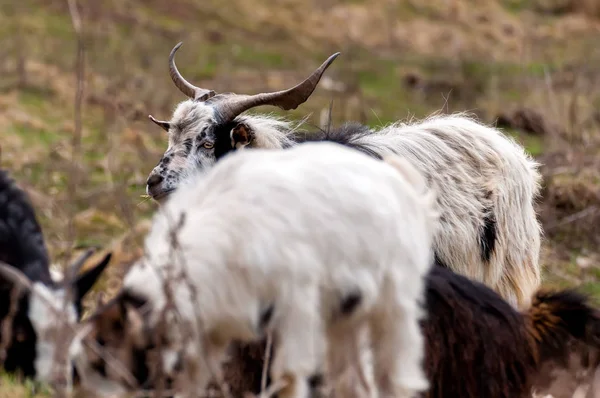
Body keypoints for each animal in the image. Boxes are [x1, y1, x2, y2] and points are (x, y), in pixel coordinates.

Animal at [70, 141, 438, 398]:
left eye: (104, 351)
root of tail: (401, 182)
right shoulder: (209, 332)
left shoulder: (297, 306)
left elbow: (288, 378)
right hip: (345, 316)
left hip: (394, 306)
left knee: (396, 378)